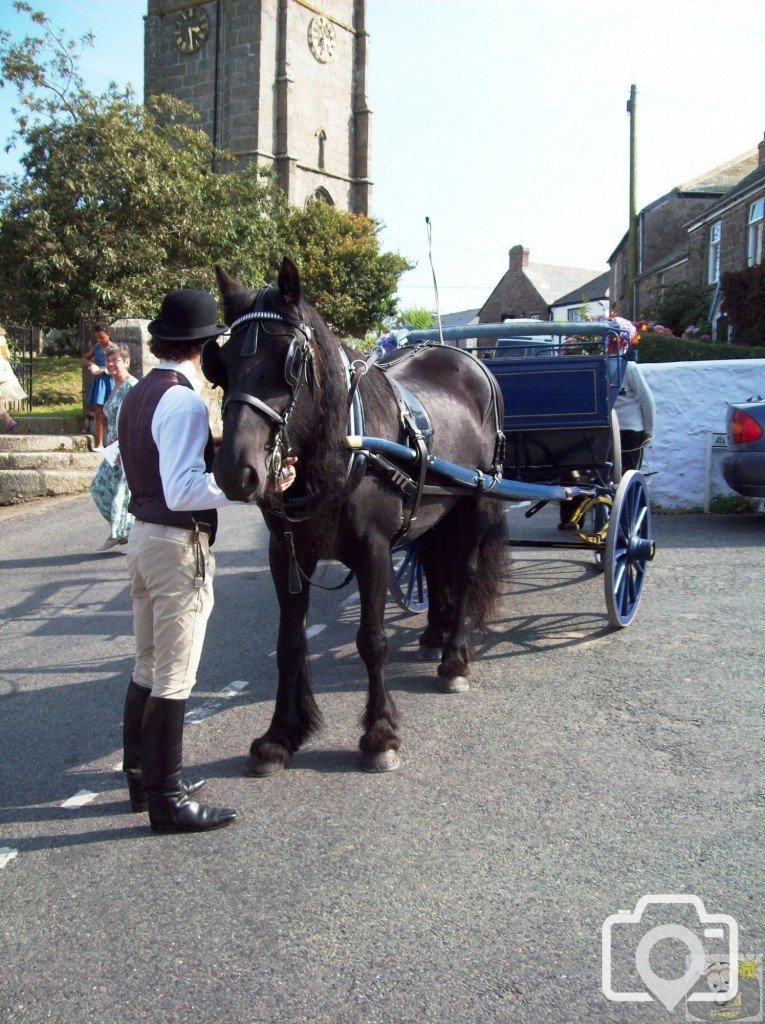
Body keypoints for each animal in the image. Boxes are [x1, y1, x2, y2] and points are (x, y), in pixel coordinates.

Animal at [207, 260, 507, 770]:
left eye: (290, 360)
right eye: (220, 362)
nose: (234, 470)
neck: (350, 447)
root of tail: (465, 356)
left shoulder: (374, 552)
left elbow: (372, 640)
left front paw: (380, 735)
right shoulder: (286, 555)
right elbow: (289, 643)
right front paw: (280, 735)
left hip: (475, 500)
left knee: (464, 572)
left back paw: (453, 659)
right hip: (433, 508)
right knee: (433, 565)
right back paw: (433, 632)